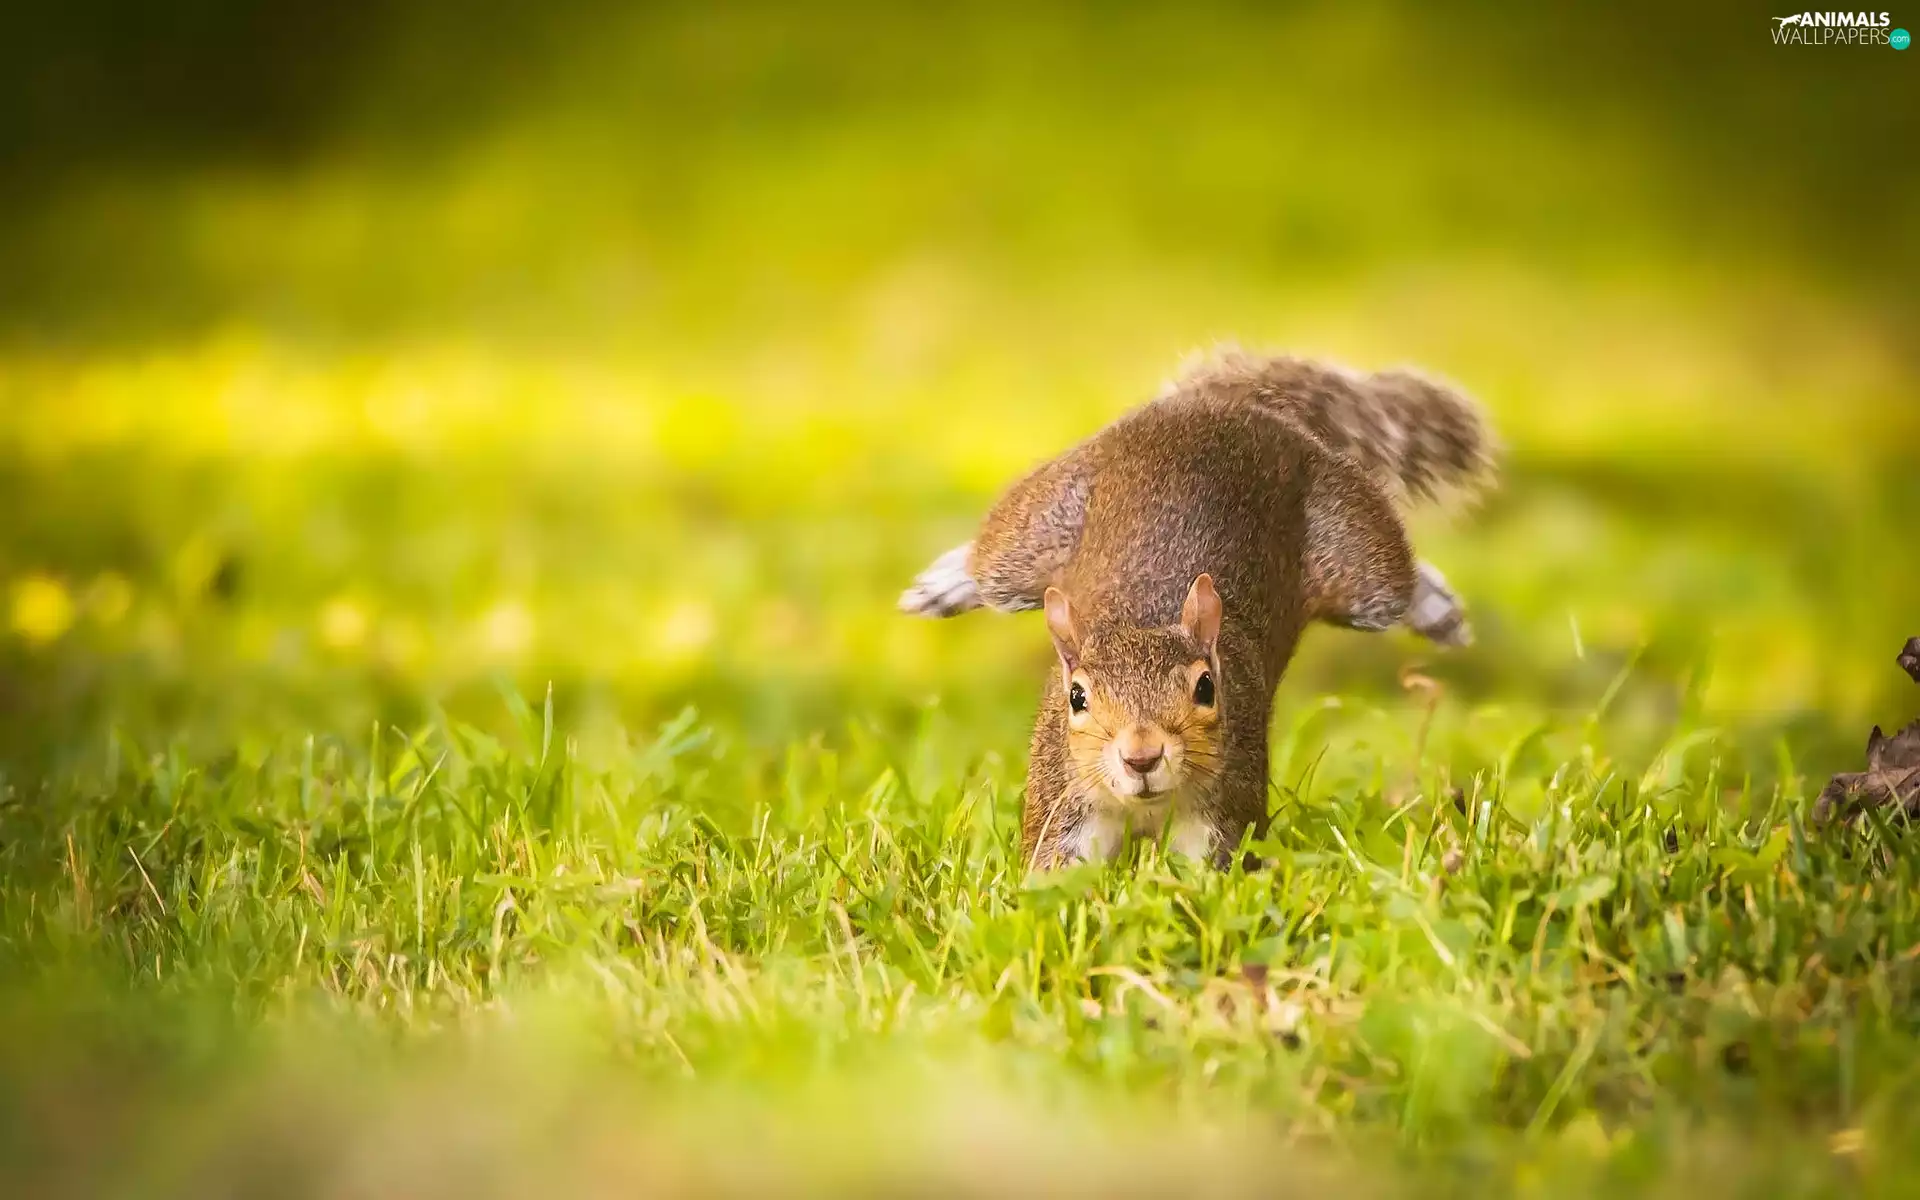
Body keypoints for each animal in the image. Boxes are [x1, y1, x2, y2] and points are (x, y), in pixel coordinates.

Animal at [900, 348, 1497, 870]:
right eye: (1077, 698)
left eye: (1207, 687)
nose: (1141, 757)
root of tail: (1235, 409)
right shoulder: (1063, 805)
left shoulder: (1222, 815)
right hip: (1045, 517)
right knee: (995, 561)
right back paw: (944, 584)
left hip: (1355, 553)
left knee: (1394, 579)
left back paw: (1434, 605)